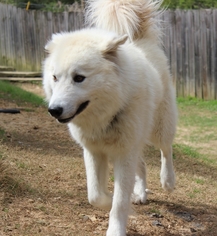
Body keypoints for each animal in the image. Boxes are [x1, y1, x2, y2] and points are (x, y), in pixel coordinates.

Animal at [42, 0, 178, 235]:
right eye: (55, 77)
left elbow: (119, 203)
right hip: (136, 143)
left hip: (159, 127)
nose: (54, 110)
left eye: (79, 78)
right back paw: (140, 194)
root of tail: (140, 39)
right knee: (142, 165)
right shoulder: (94, 152)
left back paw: (167, 181)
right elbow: (95, 195)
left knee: (166, 150)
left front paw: (116, 228)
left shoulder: (124, 155)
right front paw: (111, 199)